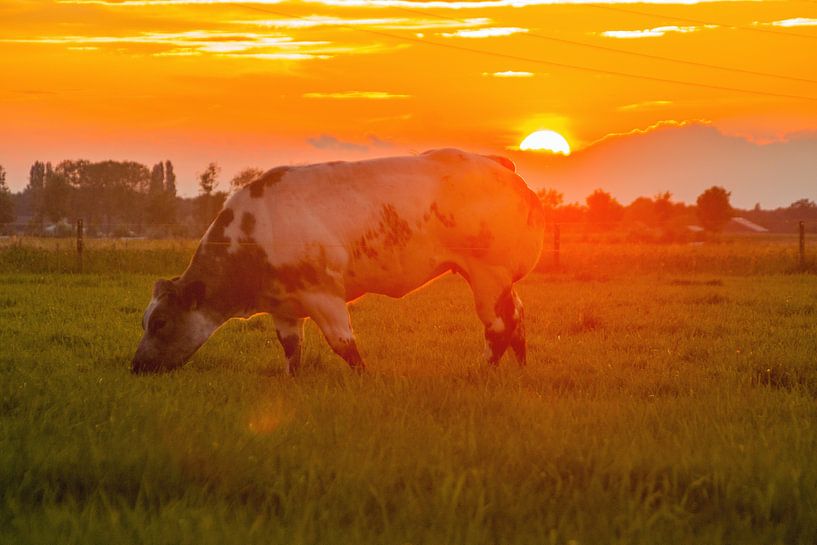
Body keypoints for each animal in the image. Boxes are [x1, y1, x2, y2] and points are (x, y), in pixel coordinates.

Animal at [131, 149, 544, 374]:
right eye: (145, 321)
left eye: (161, 321)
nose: (136, 366)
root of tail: (498, 163)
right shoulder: (284, 306)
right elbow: (291, 349)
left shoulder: (323, 296)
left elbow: (345, 345)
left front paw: (364, 379)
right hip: (501, 281)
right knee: (518, 317)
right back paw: (521, 368)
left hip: (488, 275)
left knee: (498, 327)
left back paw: (483, 371)